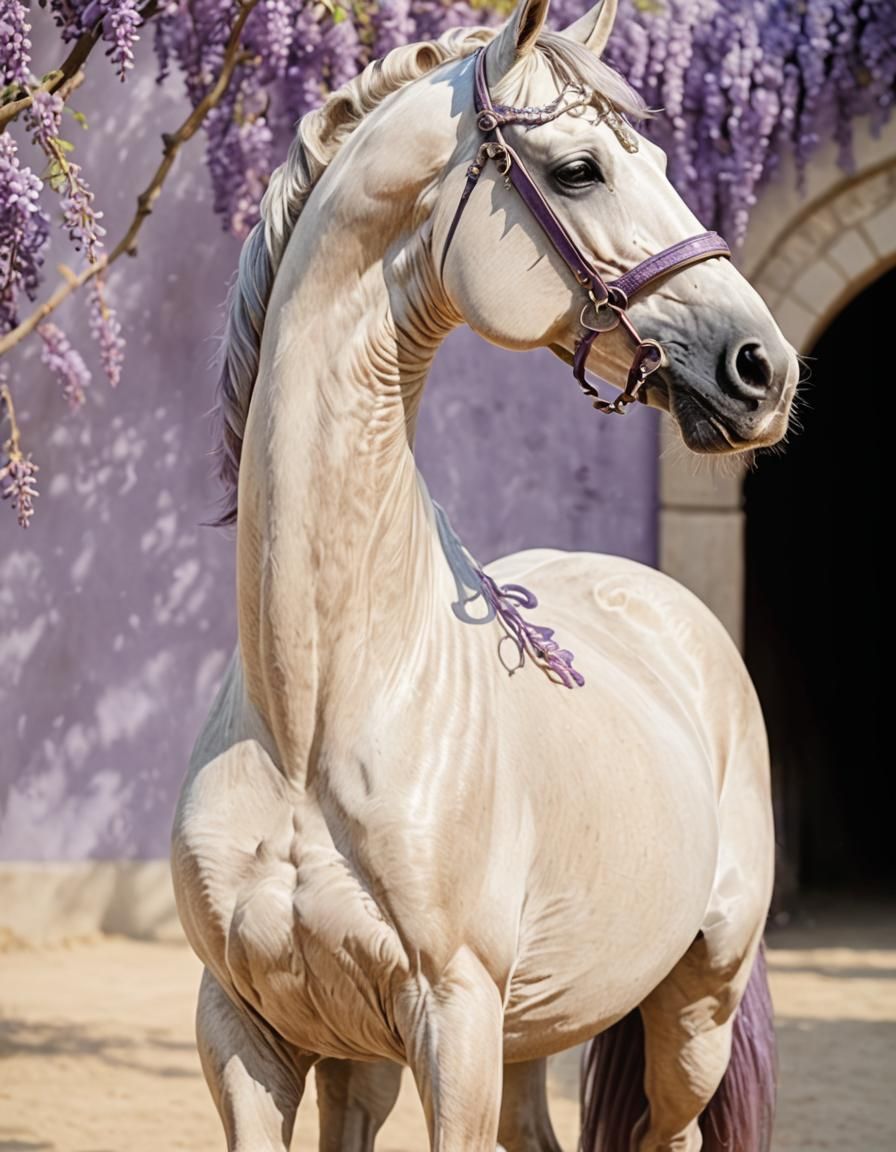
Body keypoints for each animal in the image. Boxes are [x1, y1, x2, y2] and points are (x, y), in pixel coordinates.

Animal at [171, 2, 799, 1149]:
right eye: (580, 169)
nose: (762, 368)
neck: (312, 706)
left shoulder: (451, 1025)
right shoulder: (254, 1033)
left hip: (694, 1005)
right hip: (529, 1031)